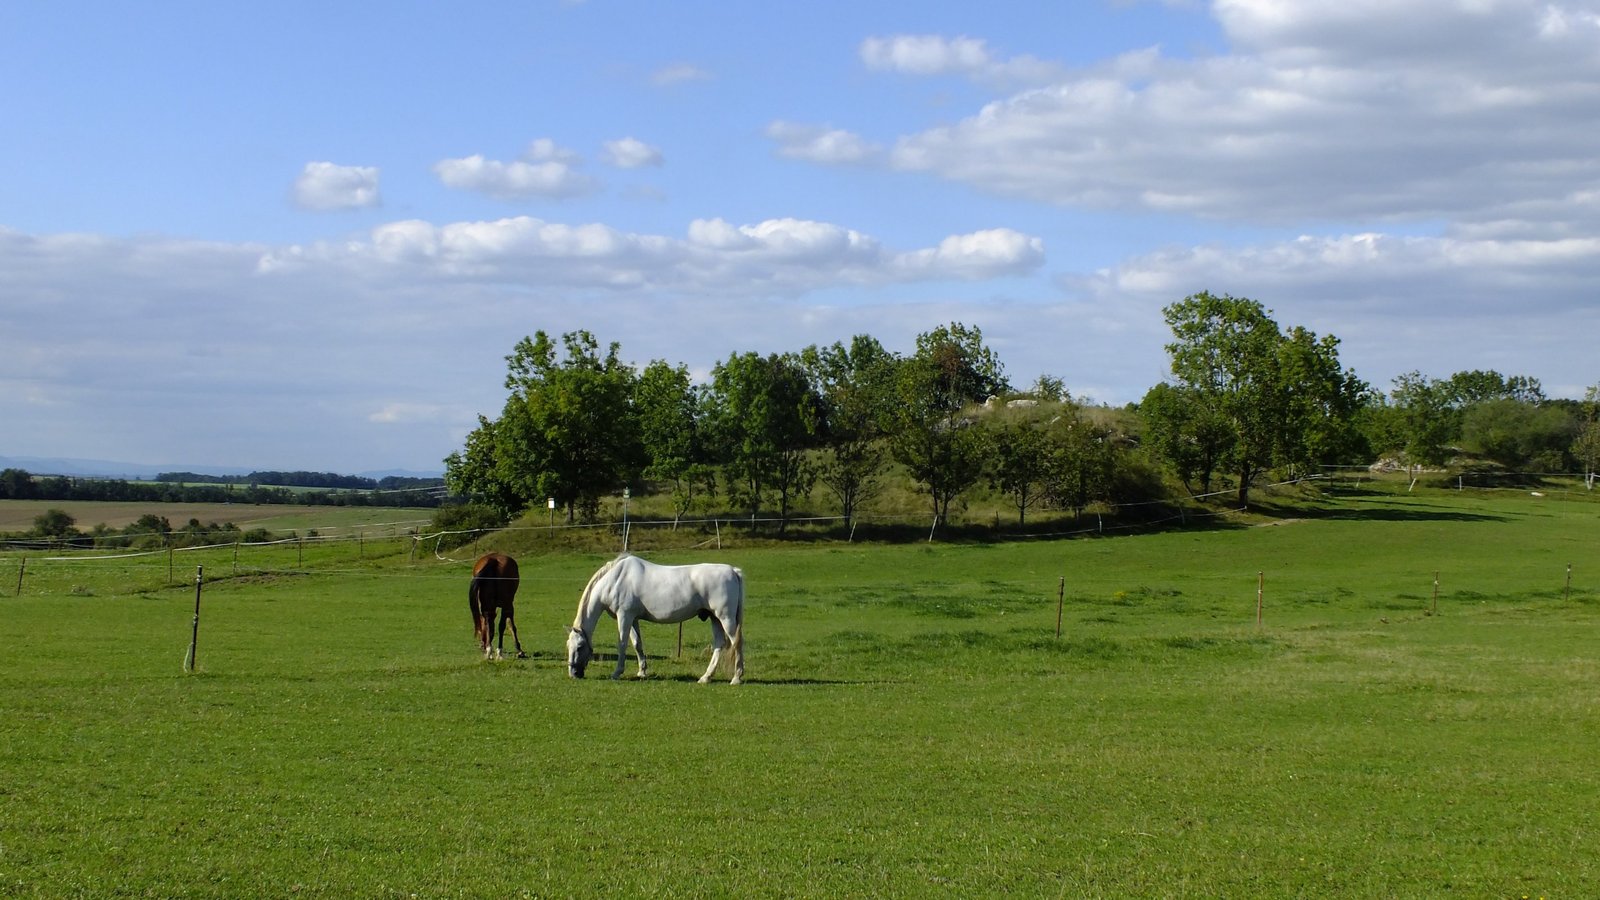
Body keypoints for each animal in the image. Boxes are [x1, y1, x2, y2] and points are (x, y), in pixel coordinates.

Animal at [566, 554, 744, 684]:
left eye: (580, 647)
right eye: (569, 646)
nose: (573, 673)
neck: (615, 580)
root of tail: (733, 571)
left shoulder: (624, 616)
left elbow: (622, 644)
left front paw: (617, 673)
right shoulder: (633, 619)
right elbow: (637, 644)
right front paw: (642, 672)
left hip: (726, 619)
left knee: (737, 643)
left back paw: (736, 678)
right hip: (715, 618)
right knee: (719, 644)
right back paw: (706, 677)